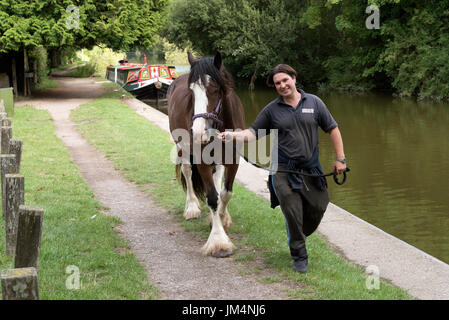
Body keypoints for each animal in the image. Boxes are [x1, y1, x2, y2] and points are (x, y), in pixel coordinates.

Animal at [167, 52, 245, 258]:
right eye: (192, 92)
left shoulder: (233, 161)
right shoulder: (201, 161)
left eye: (215, 89)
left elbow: (225, 193)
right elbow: (212, 197)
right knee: (187, 171)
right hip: (182, 147)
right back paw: (192, 208)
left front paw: (221, 219)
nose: (198, 132)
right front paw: (218, 241)